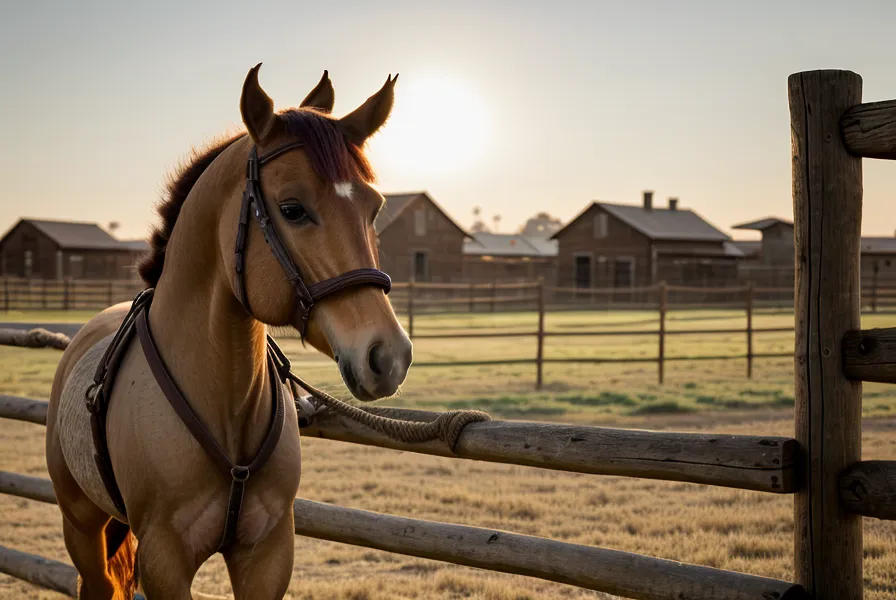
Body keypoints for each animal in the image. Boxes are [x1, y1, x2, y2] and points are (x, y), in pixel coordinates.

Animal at [45, 64, 413, 599]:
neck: (226, 408)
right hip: (81, 527)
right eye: (292, 209)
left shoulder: (268, 554)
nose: (388, 356)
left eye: (375, 208)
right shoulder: (165, 562)